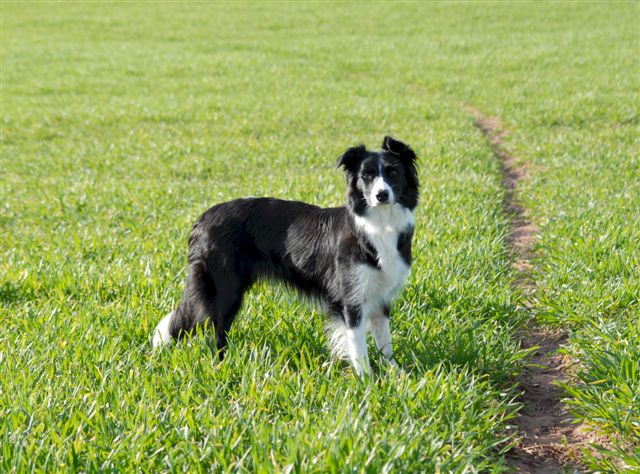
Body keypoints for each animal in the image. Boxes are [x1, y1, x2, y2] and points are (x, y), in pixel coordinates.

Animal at [152, 135, 418, 376]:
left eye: (393, 172)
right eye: (367, 176)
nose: (381, 195)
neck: (379, 225)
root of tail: (202, 218)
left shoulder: (382, 296)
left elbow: (385, 343)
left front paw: (396, 374)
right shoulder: (350, 298)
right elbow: (358, 347)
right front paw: (366, 381)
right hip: (223, 288)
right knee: (217, 331)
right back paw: (222, 364)